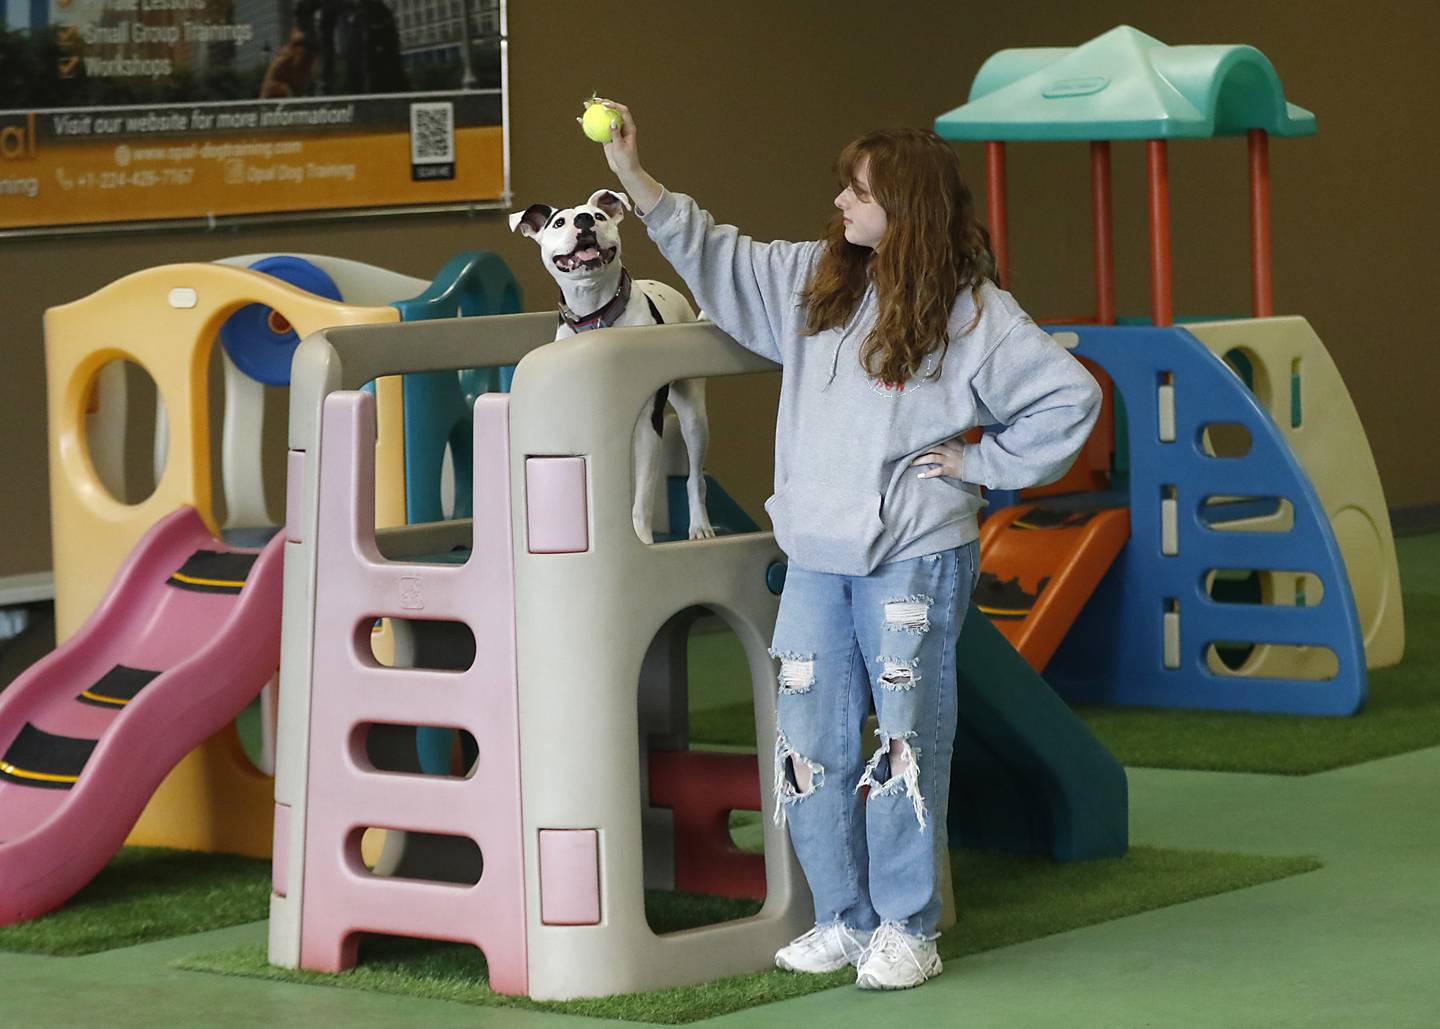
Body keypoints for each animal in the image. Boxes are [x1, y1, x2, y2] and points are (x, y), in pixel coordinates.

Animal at [512, 191, 714, 546]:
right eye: (558, 222)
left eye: (599, 216)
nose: (584, 220)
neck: (596, 312)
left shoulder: (648, 425)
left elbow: (642, 499)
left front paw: (642, 541)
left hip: (693, 416)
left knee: (694, 475)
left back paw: (700, 525)